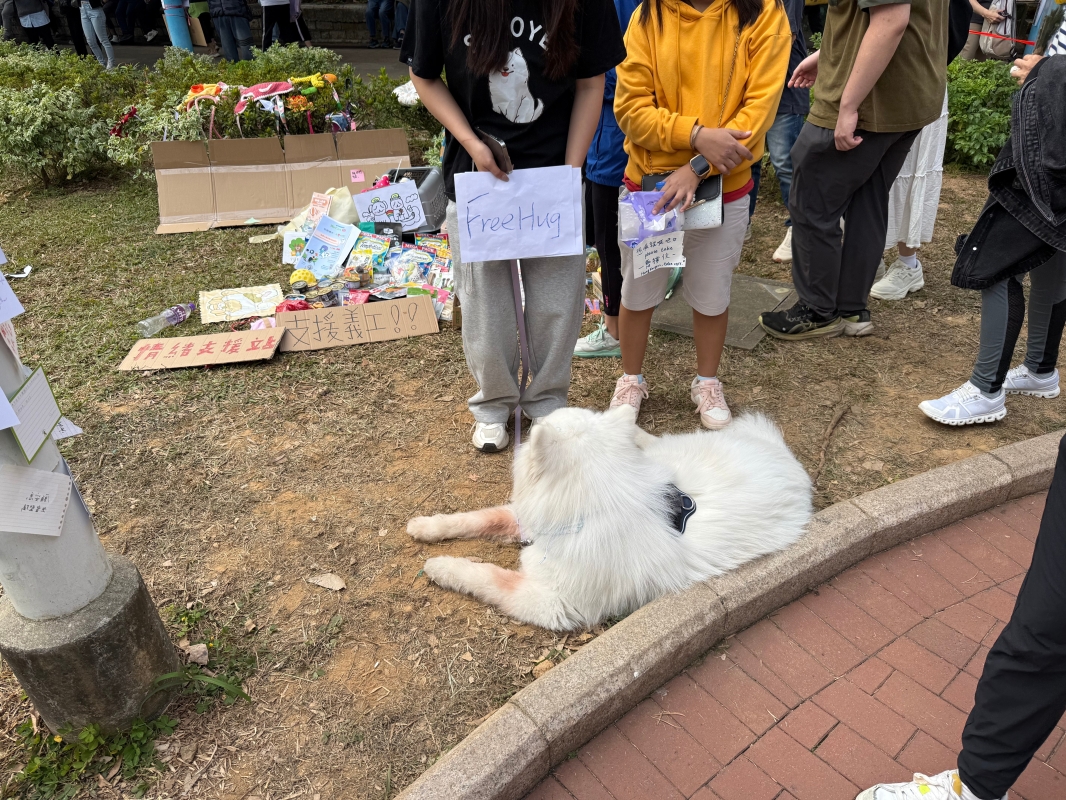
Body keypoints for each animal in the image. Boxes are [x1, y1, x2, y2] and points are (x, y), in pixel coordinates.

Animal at [407, 407, 812, 631]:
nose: (531, 418)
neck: (595, 506)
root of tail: (781, 453)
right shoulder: (529, 520)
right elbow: (475, 518)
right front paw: (424, 527)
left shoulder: (555, 603)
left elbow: (486, 575)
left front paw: (440, 566)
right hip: (671, 452)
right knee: (655, 441)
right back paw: (633, 427)